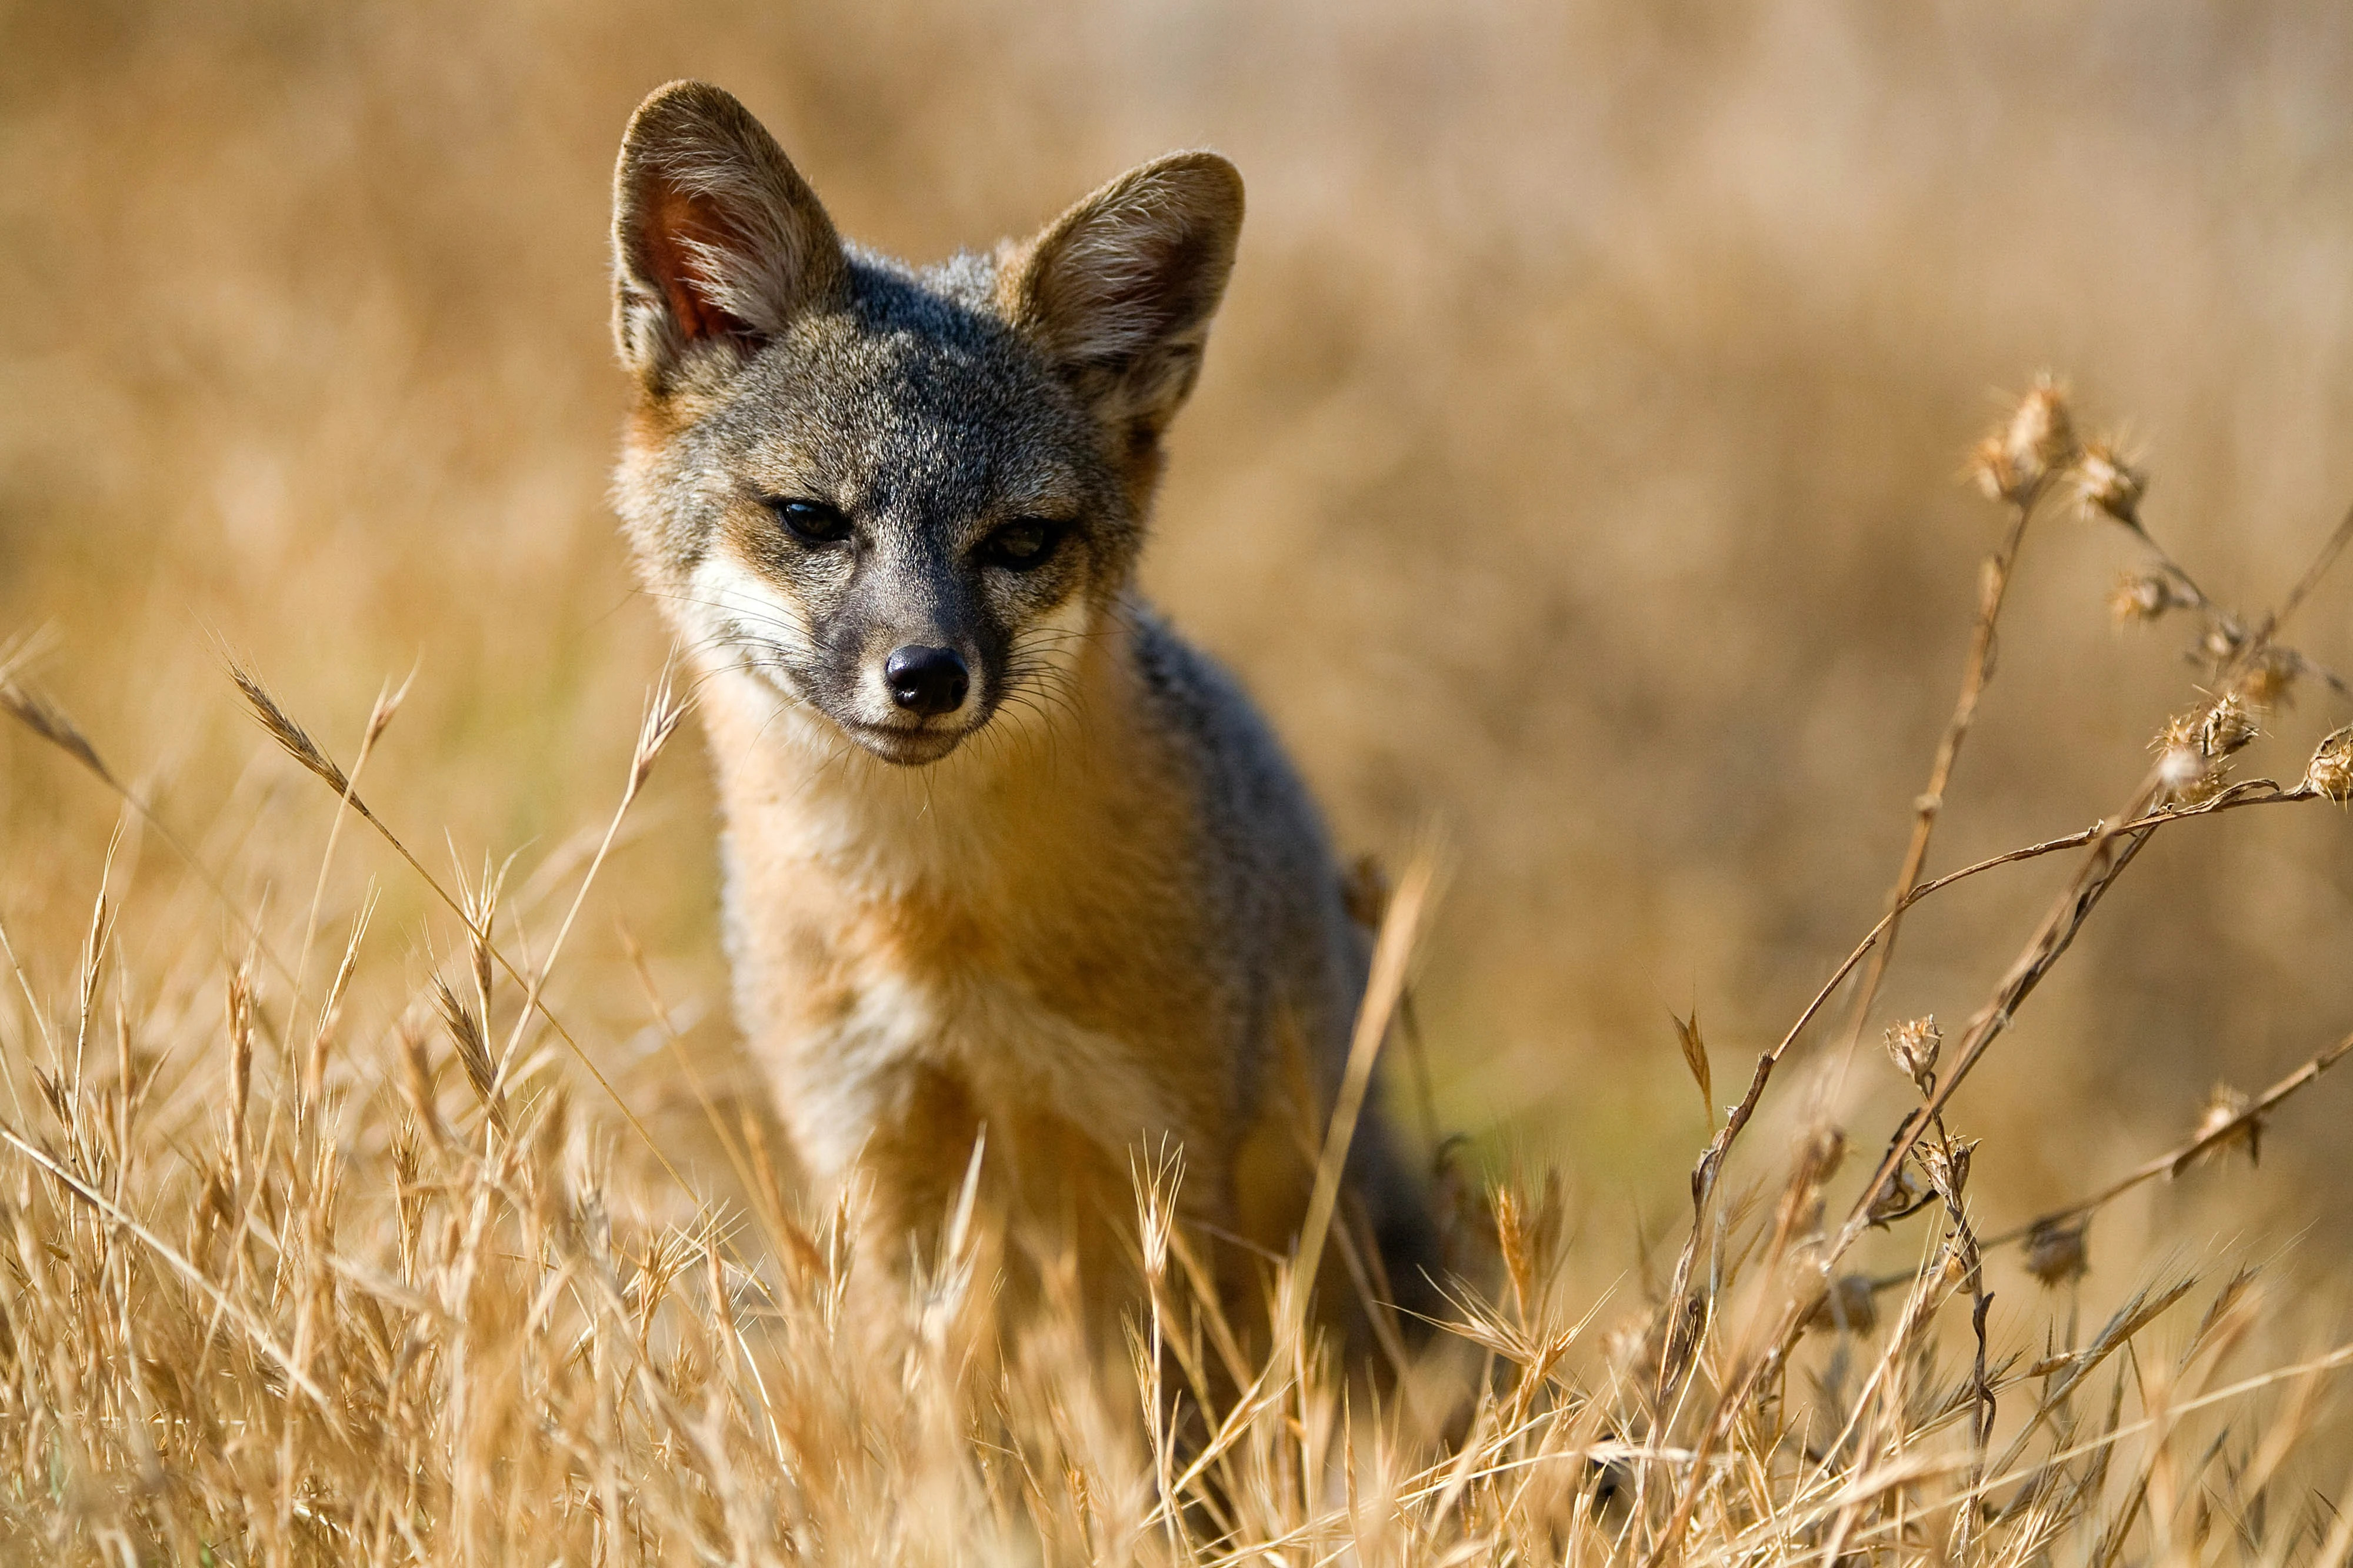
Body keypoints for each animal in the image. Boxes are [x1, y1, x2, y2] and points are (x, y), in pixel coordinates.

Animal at [606, 80, 1440, 1351]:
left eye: (1021, 542)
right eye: (810, 519)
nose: (925, 675)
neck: (928, 918)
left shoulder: (1162, 1161)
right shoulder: (870, 1145)